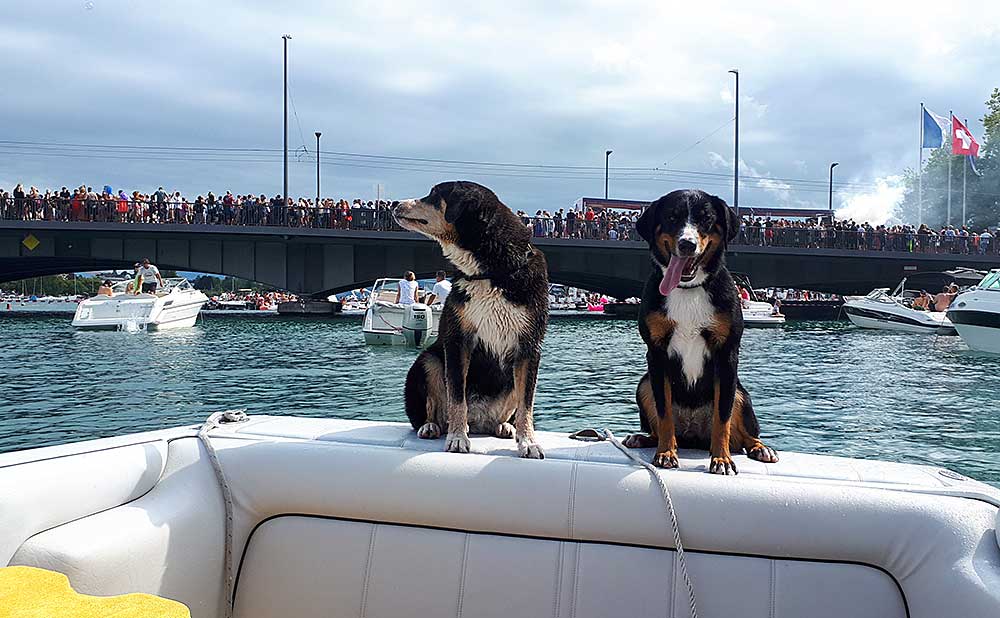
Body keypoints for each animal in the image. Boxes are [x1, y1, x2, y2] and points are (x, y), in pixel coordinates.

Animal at [392, 180, 548, 454]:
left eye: (434, 194)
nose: (394, 203)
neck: (491, 272)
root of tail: (479, 421)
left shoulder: (528, 348)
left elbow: (526, 404)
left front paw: (528, 441)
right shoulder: (458, 341)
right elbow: (457, 397)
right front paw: (457, 438)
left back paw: (504, 427)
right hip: (429, 361)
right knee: (429, 412)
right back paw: (432, 426)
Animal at [624, 190, 780, 474]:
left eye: (706, 218)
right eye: (672, 217)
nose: (687, 244)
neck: (688, 290)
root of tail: (693, 434)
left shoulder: (727, 354)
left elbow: (723, 418)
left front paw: (721, 459)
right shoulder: (657, 353)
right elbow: (664, 413)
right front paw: (665, 453)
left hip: (741, 394)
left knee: (744, 435)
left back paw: (761, 448)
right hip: (644, 384)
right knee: (658, 423)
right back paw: (642, 438)